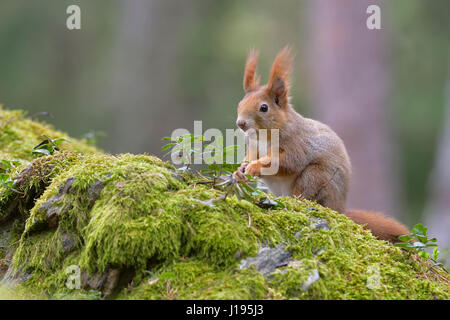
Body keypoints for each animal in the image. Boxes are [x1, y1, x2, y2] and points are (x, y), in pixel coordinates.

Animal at [234, 47, 410, 242]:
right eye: (240, 103)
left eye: (264, 108)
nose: (240, 123)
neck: (263, 135)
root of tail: (340, 208)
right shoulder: (253, 145)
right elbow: (251, 157)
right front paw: (240, 171)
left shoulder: (297, 145)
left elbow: (285, 163)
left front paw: (254, 167)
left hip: (316, 177)